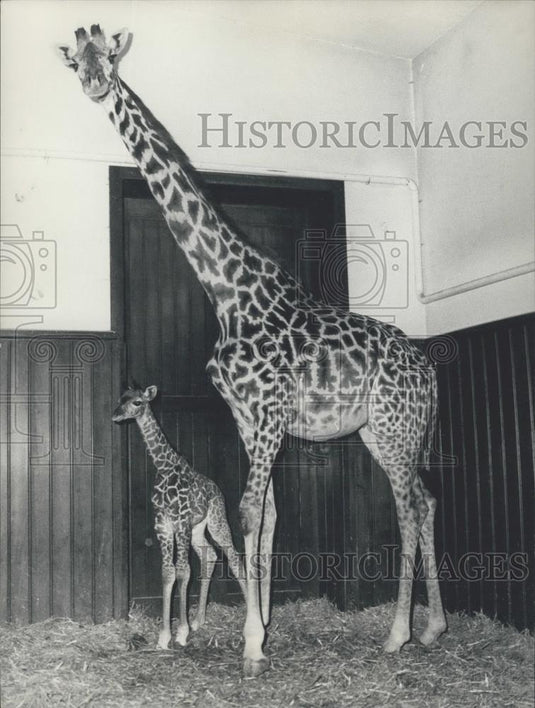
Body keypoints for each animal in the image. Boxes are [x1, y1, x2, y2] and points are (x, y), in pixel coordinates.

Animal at [112, 384, 247, 649]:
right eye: (121, 399)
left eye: (137, 402)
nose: (116, 416)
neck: (164, 468)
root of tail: (217, 489)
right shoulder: (163, 524)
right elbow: (168, 572)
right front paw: (165, 636)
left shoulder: (181, 522)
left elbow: (184, 570)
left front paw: (181, 632)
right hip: (198, 529)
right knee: (211, 555)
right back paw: (199, 620)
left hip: (216, 521)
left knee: (235, 558)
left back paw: (252, 615)